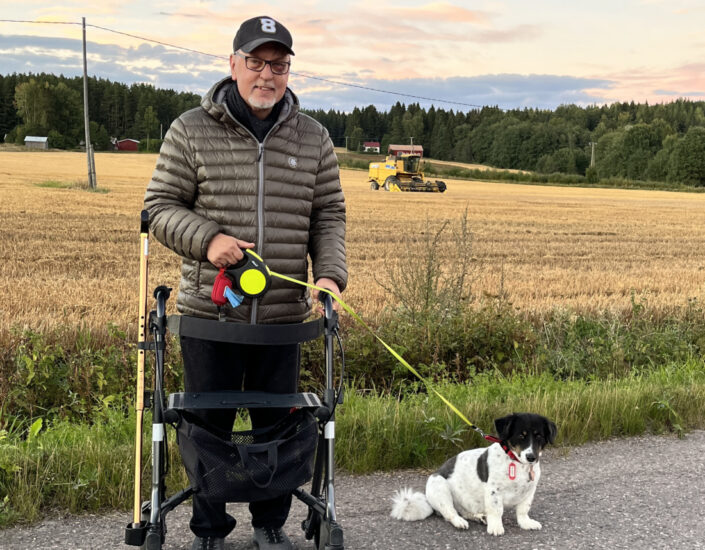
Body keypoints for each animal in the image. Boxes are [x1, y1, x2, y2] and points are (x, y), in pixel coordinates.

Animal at [390, 414, 556, 540]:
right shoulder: (494, 491)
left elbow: (523, 510)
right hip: (440, 487)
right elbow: (496, 510)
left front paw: (526, 523)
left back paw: (478, 517)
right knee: (449, 512)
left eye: (539, 436)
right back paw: (460, 522)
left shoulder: (529, 491)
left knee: (464, 511)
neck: (515, 462)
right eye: (521, 435)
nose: (531, 457)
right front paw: (496, 527)